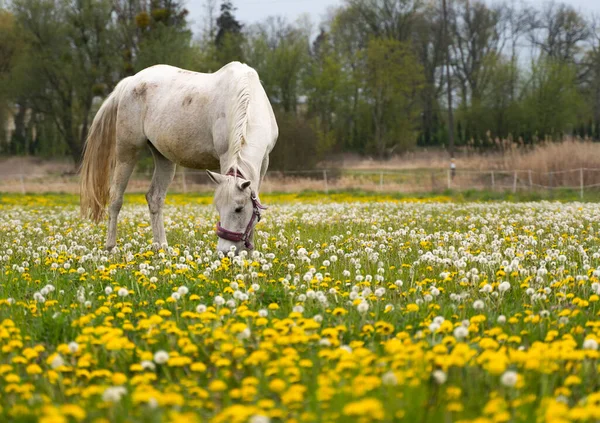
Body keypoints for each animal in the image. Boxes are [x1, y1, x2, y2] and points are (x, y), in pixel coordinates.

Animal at [79, 61, 278, 253]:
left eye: (238, 208)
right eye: (218, 207)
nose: (224, 251)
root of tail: (130, 82)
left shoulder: (263, 163)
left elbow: (256, 202)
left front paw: (250, 253)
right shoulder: (225, 157)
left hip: (163, 158)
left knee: (155, 198)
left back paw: (162, 247)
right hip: (127, 152)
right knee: (115, 198)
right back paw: (111, 247)